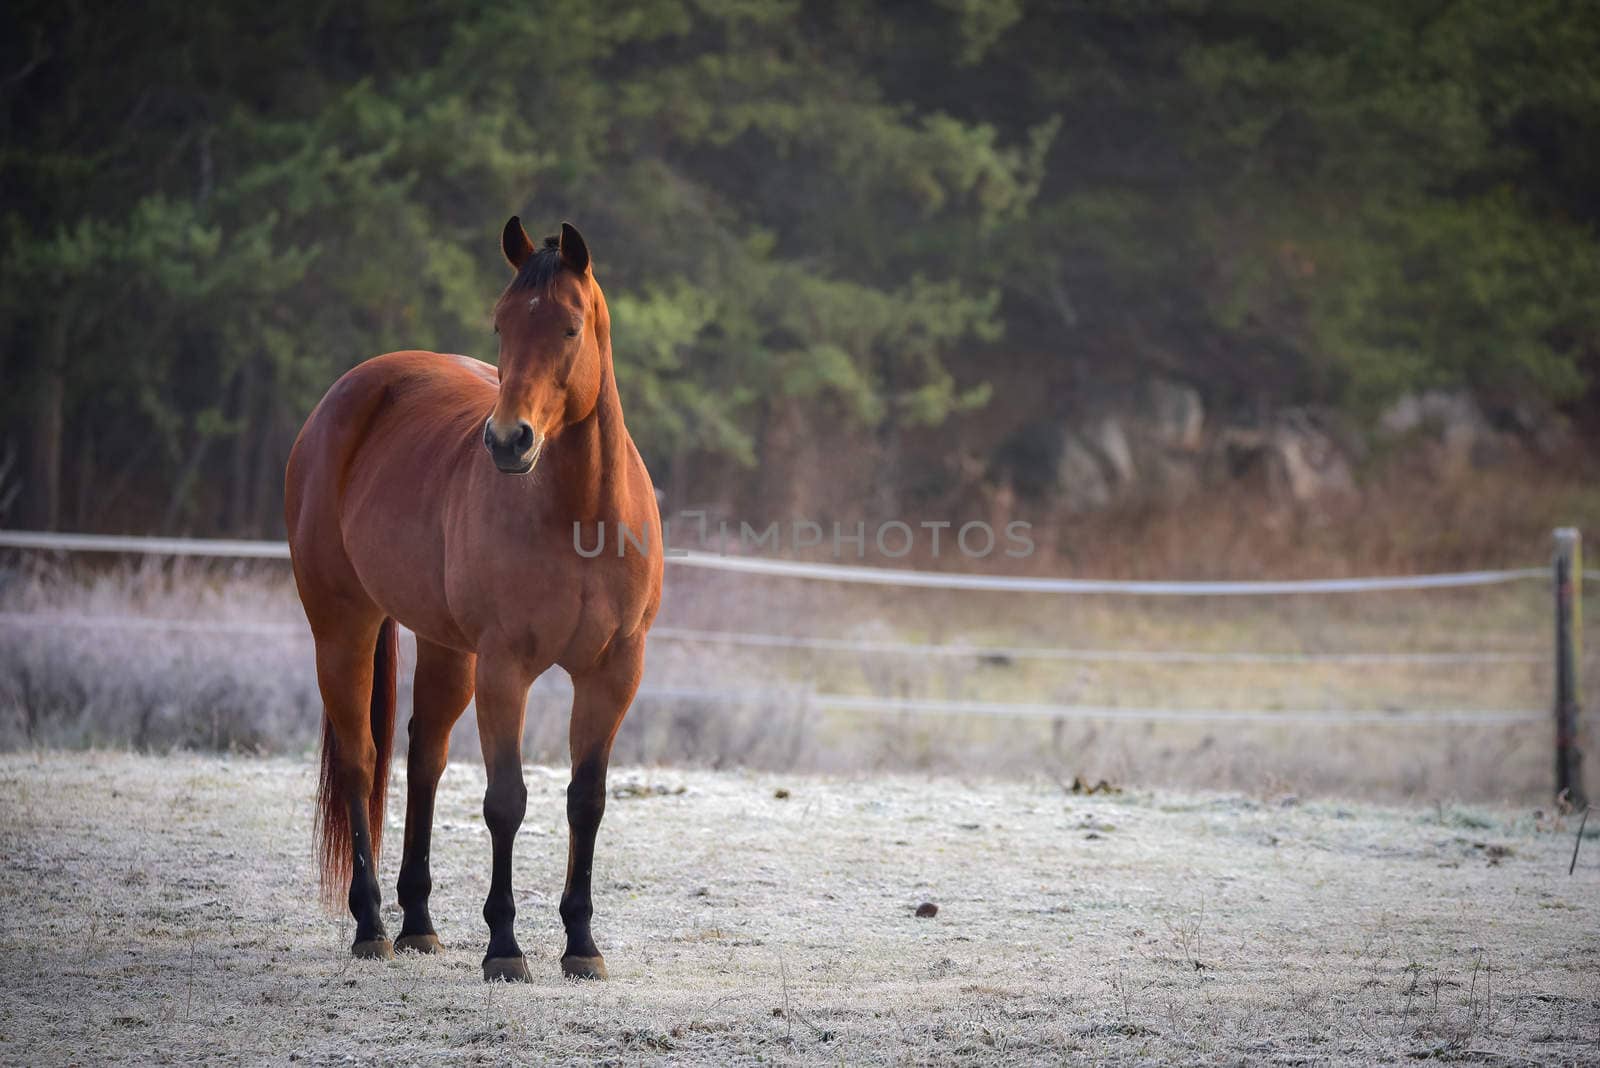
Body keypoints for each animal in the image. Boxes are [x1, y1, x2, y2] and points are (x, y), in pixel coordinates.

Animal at [284, 219, 659, 984]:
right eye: (501, 324)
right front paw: (506, 947)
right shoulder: (505, 668)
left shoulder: (613, 672)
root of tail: (350, 394)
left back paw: (419, 925)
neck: (581, 516)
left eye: (570, 327)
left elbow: (586, 800)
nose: (509, 440)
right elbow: (506, 800)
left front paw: (582, 945)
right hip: (342, 627)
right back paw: (371, 926)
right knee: (362, 758)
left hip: (446, 649)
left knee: (423, 757)